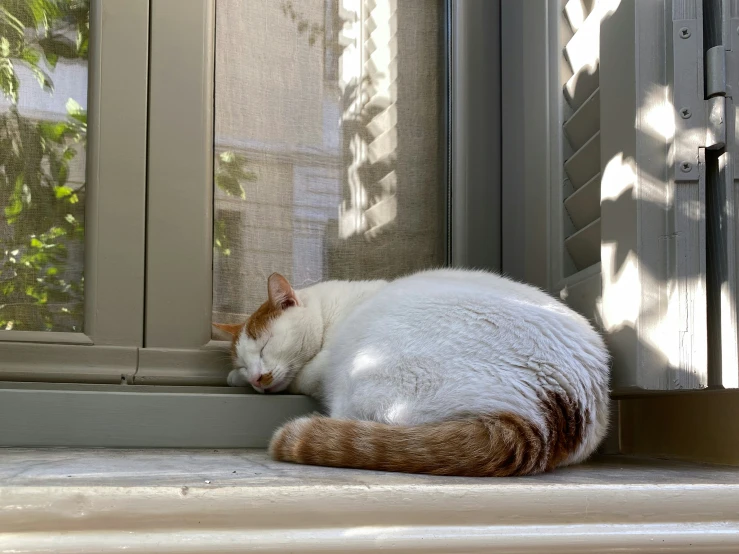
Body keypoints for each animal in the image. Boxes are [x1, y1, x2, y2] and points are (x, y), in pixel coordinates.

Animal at [217, 268, 608, 474]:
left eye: (266, 344)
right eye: (245, 361)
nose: (257, 378)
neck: (332, 314)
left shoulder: (315, 368)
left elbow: (300, 374)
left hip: (366, 378)